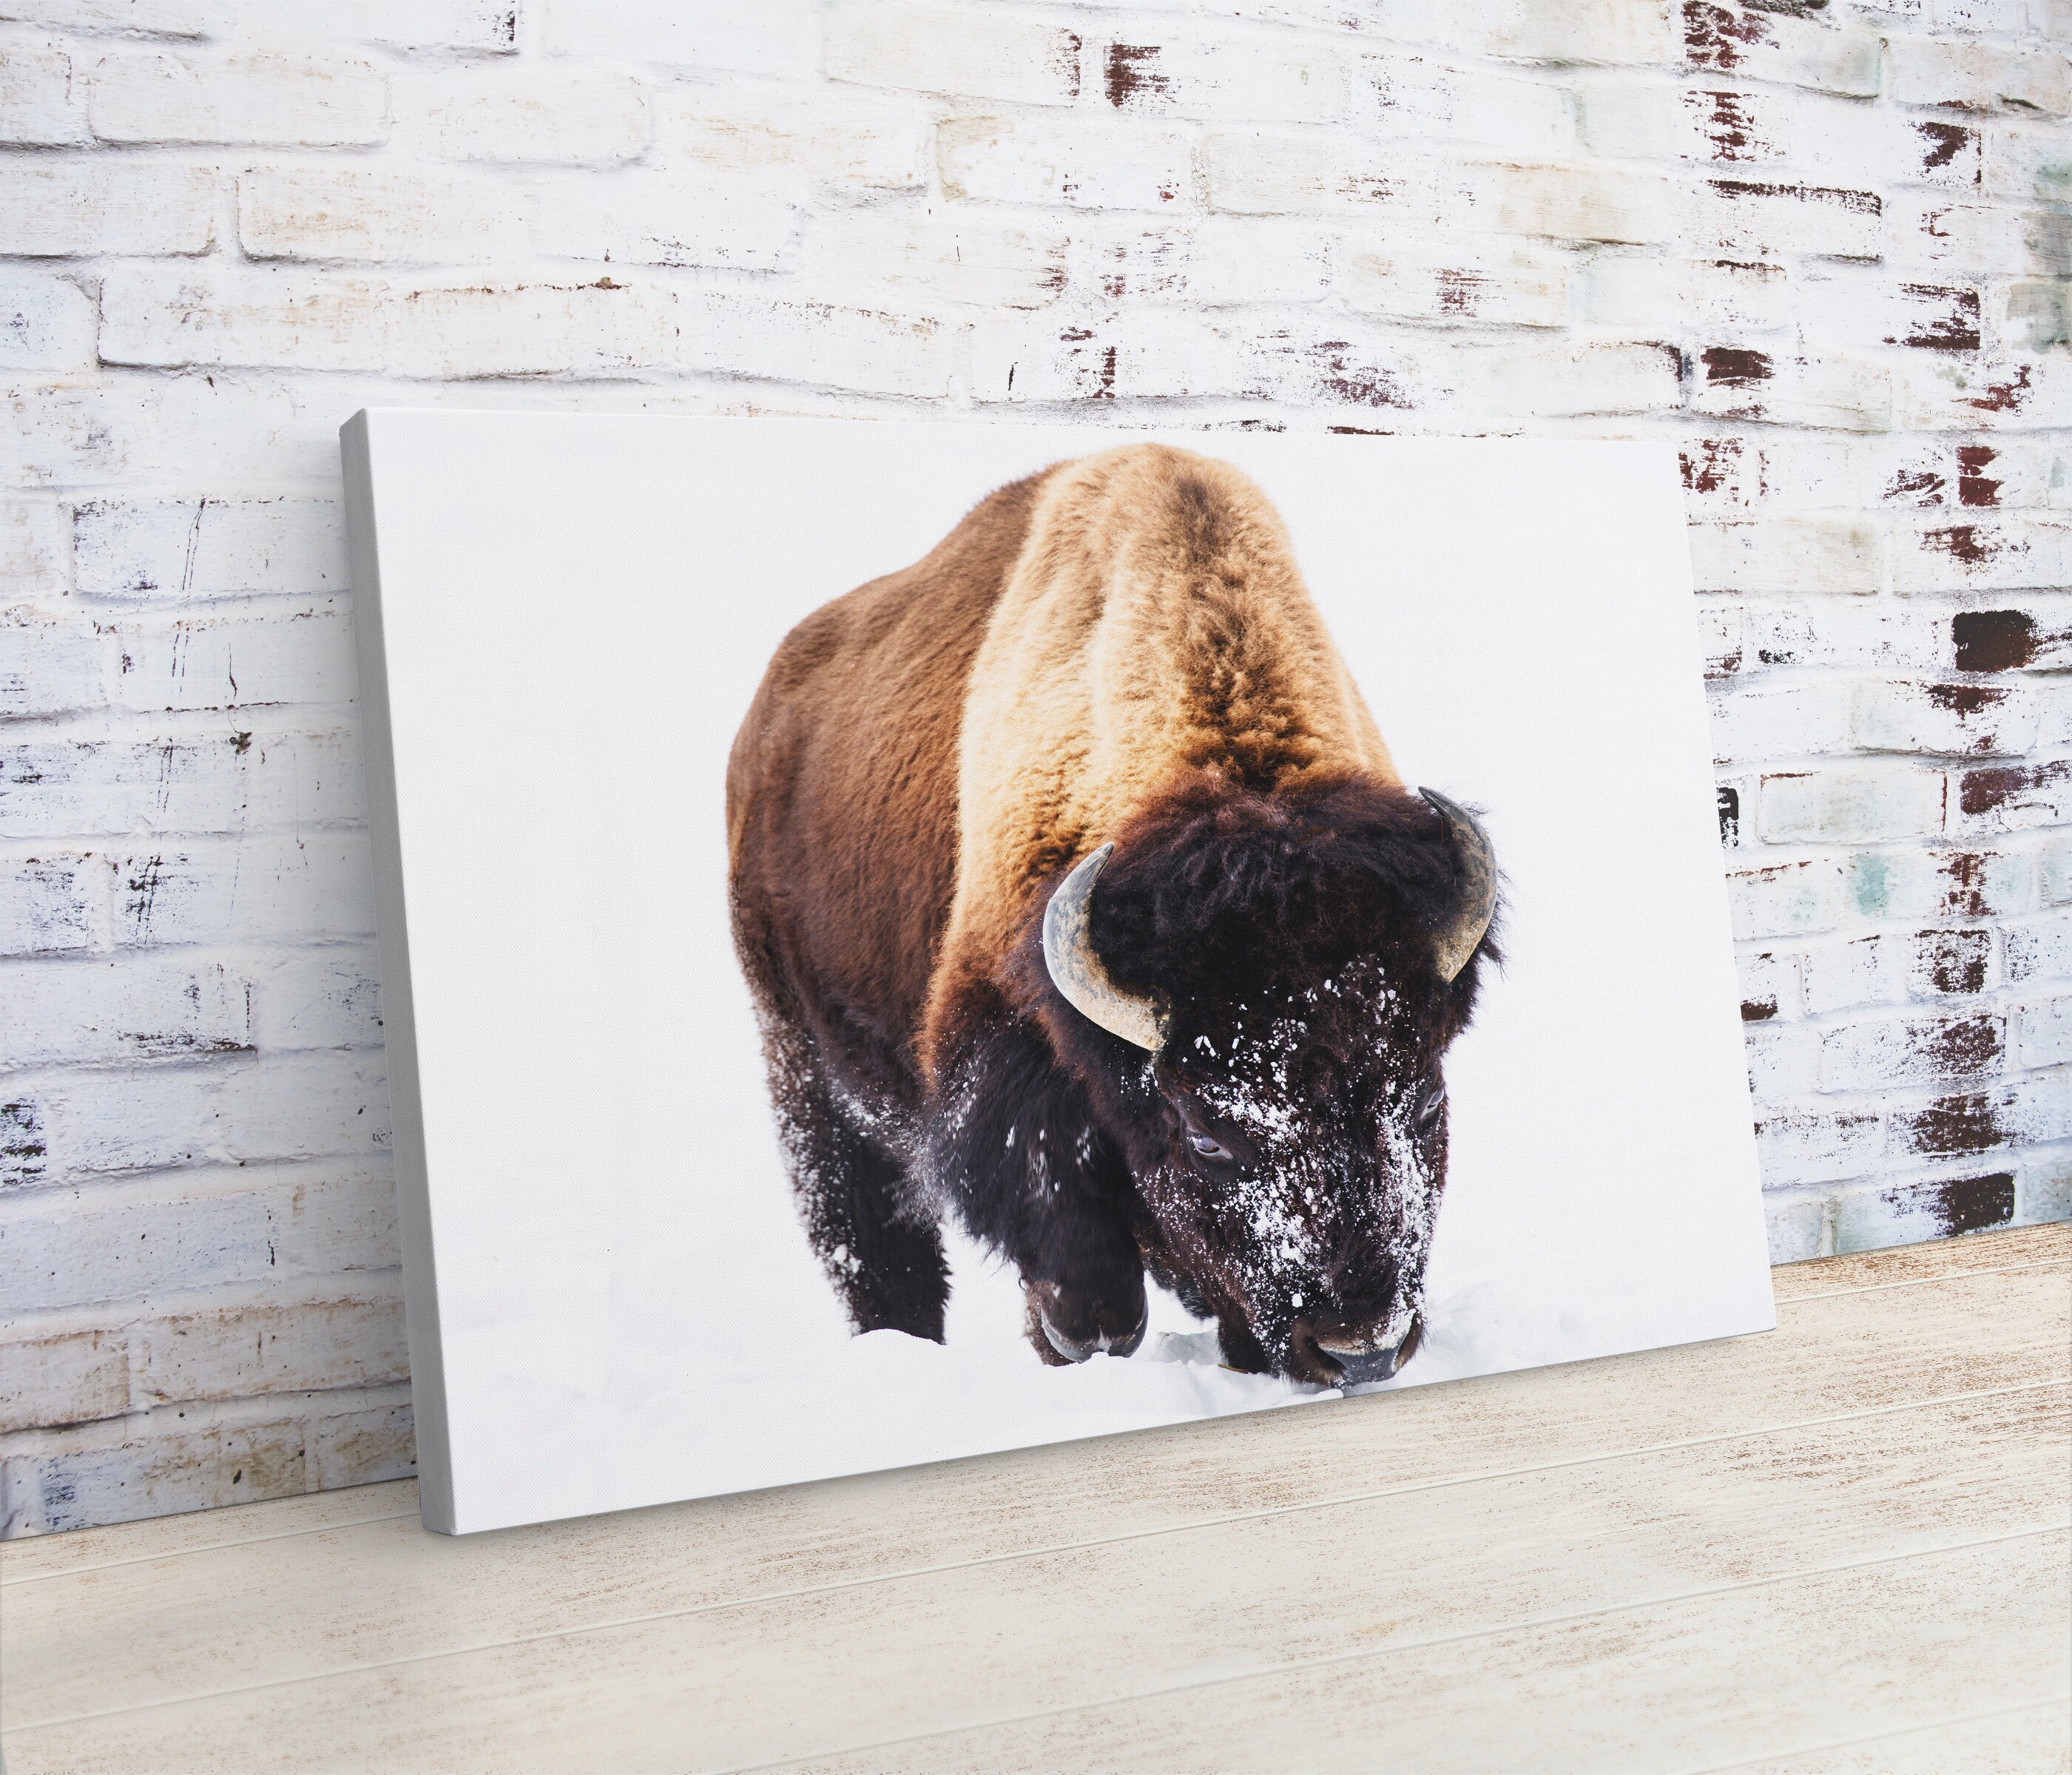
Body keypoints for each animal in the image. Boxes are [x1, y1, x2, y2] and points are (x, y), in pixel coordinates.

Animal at [727, 443, 1497, 1386]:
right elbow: (1090, 1289)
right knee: (877, 1250)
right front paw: (1076, 1344)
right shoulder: (1003, 1062)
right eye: (1206, 1135)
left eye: (1421, 1100)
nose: (1361, 1348)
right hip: (804, 1067)